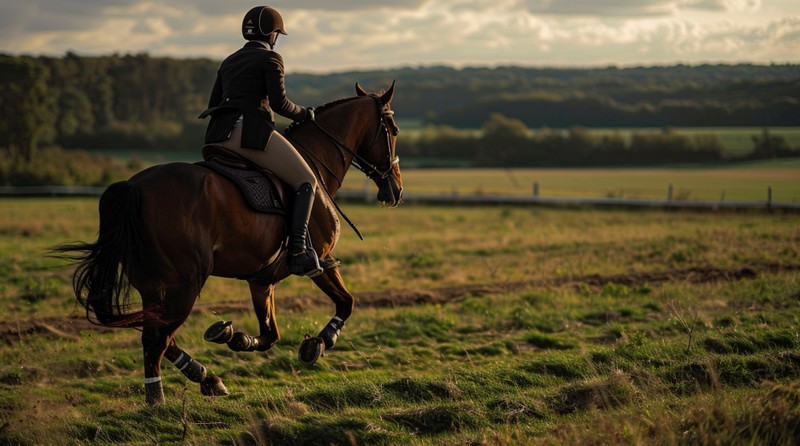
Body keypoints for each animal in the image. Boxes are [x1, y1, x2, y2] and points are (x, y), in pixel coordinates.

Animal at [55, 82, 404, 406]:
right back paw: (157, 399)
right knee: (156, 339)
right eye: (394, 130)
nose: (396, 190)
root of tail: (134, 187)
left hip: (153, 285)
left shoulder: (262, 280)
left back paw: (205, 376)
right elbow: (346, 302)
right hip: (185, 284)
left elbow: (270, 334)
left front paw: (233, 337)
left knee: (155, 333)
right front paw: (319, 342)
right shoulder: (322, 260)